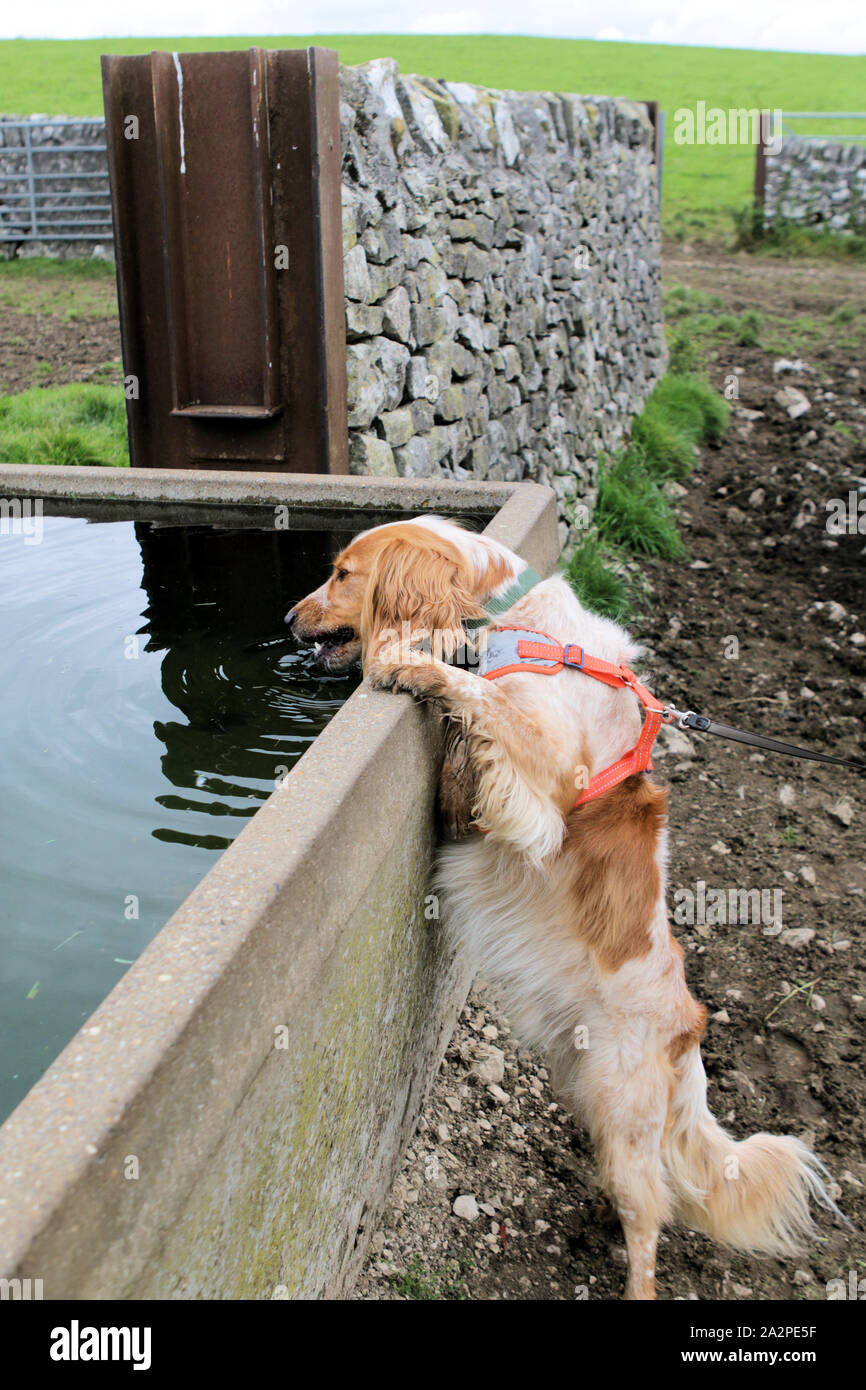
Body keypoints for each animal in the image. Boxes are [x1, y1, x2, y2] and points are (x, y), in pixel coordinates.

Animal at [287, 514, 839, 1301]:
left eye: (342, 573)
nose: (286, 619)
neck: (506, 620)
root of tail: (690, 1034)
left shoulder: (548, 775)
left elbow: (474, 691)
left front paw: (407, 663)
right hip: (588, 1093)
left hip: (621, 1110)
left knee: (651, 1220)